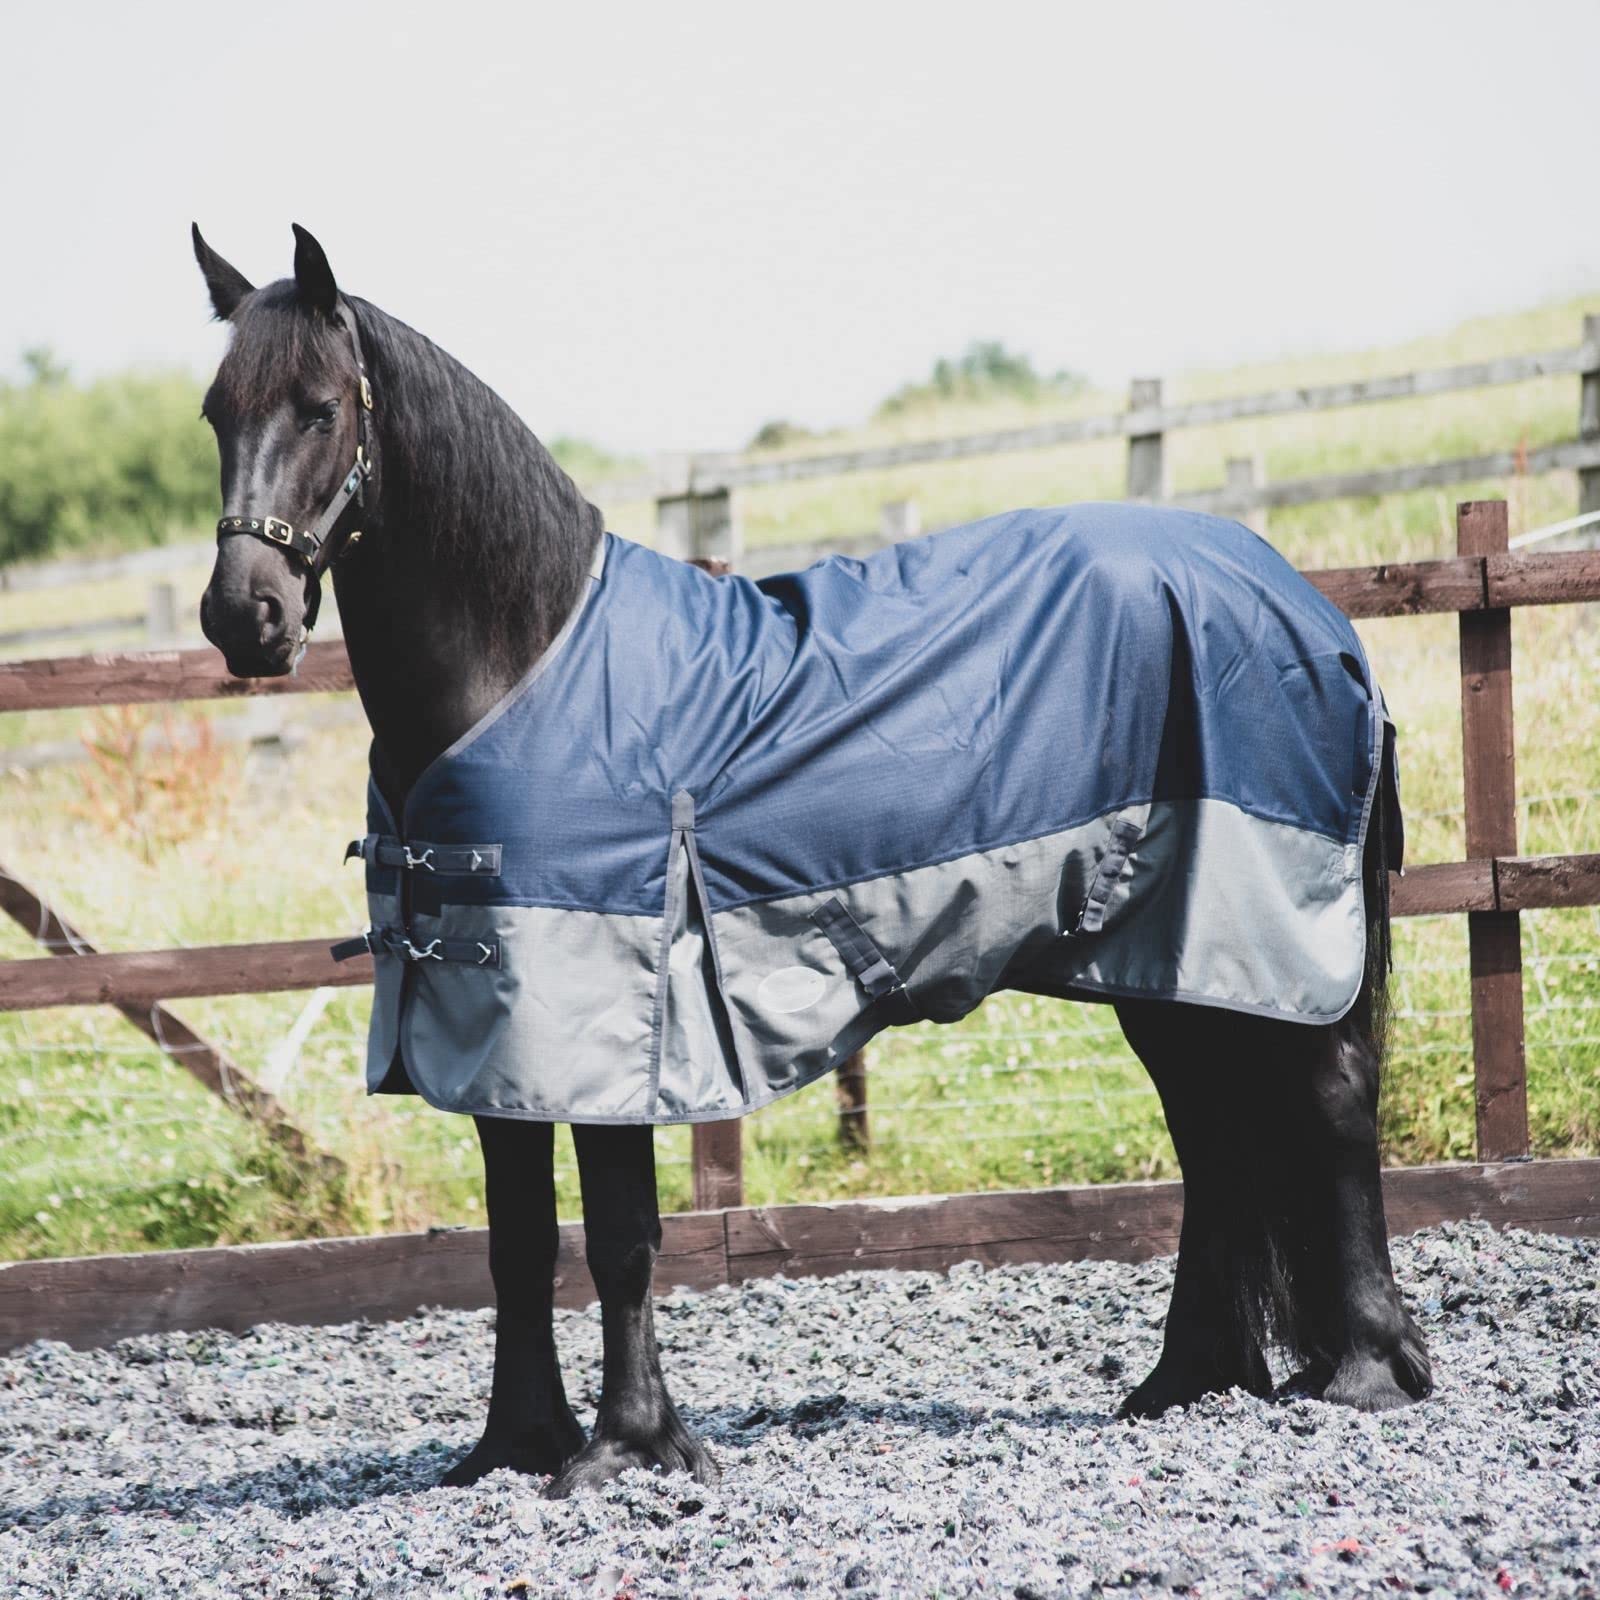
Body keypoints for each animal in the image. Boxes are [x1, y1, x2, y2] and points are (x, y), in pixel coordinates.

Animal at [192, 224, 1433, 1497]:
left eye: (321, 408)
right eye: (215, 412)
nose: (246, 618)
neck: (522, 668)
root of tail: (1304, 606)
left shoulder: (609, 1016)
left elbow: (622, 1238)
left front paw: (631, 1445)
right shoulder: (495, 1025)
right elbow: (517, 1242)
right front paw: (513, 1443)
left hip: (1267, 936)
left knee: (1332, 1097)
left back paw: (1366, 1370)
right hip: (1175, 959)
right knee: (1215, 1135)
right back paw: (1185, 1377)